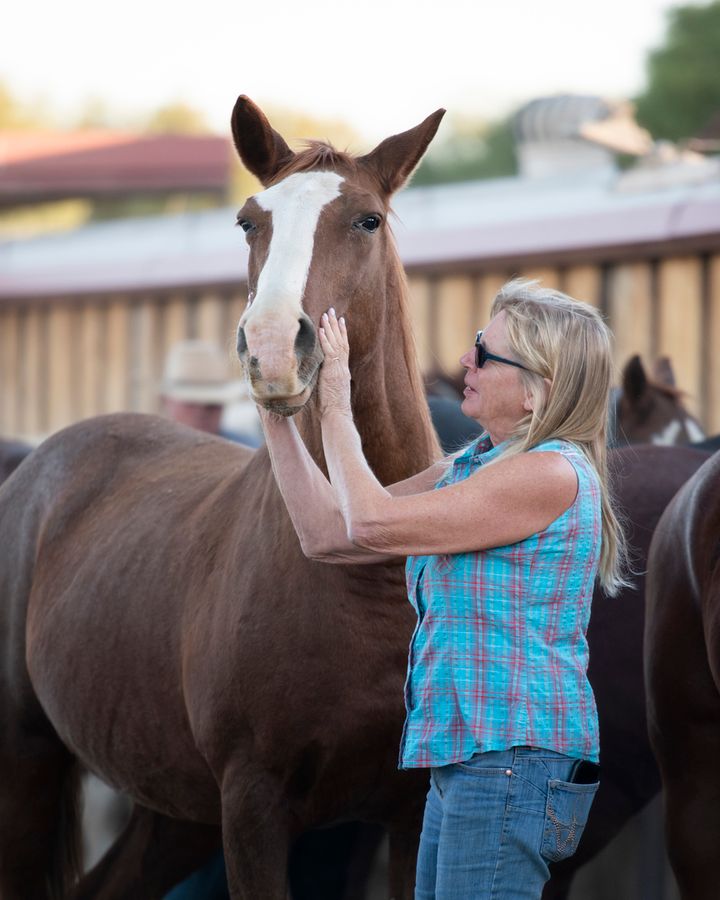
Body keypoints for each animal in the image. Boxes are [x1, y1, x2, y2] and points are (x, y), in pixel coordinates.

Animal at [0, 98, 444, 900]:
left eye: (367, 220)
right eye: (247, 221)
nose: (272, 349)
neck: (361, 571)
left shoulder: (415, 809)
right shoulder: (252, 806)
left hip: (174, 810)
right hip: (28, 762)